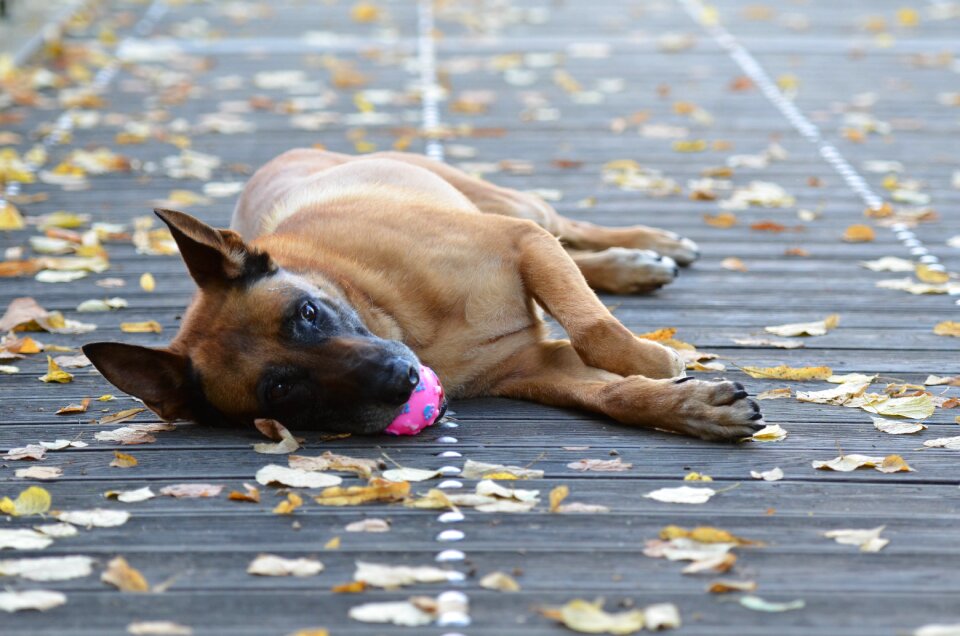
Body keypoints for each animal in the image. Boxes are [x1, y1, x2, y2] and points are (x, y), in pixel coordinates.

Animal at [86, 149, 764, 440]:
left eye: (307, 313)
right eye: (280, 390)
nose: (401, 380)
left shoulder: (521, 242)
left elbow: (596, 329)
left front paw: (654, 359)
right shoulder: (536, 367)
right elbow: (614, 395)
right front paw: (692, 408)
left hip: (517, 208)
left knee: (566, 228)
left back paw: (644, 249)